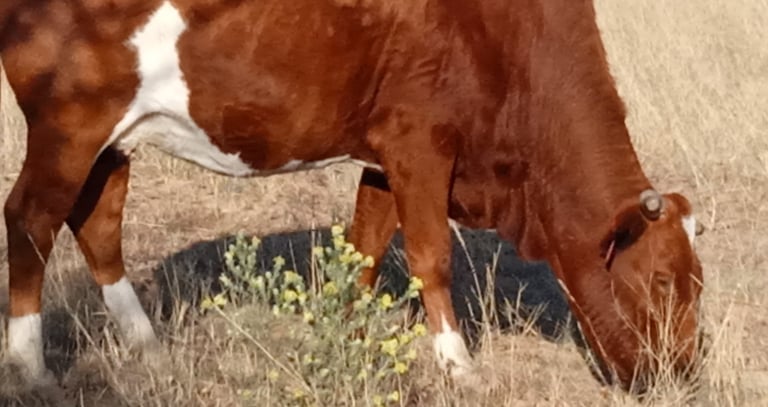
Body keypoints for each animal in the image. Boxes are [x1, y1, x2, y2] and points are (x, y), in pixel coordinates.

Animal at [1, 0, 702, 392]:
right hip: (69, 124)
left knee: (97, 223)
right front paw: (458, 366)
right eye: (662, 280)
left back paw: (146, 343)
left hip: (112, 140)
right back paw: (32, 367)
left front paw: (347, 334)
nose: (682, 373)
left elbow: (365, 250)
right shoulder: (421, 142)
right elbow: (430, 257)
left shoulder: (384, 156)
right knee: (31, 220)